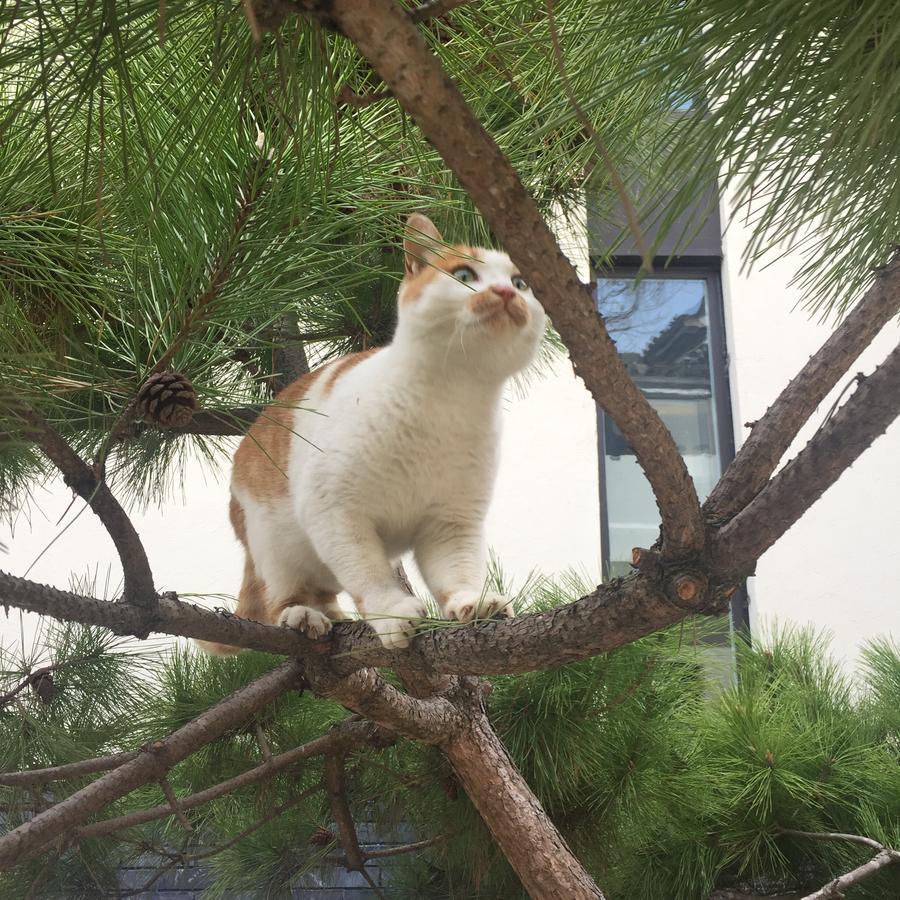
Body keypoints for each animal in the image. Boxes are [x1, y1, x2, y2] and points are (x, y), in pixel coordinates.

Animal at [199, 216, 548, 652]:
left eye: (520, 283)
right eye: (464, 275)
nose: (504, 292)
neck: (449, 402)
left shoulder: (452, 523)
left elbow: (457, 571)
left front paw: (472, 601)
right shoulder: (336, 514)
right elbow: (369, 574)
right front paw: (393, 612)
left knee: (325, 591)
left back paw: (332, 613)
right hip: (274, 545)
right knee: (283, 595)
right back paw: (303, 616)